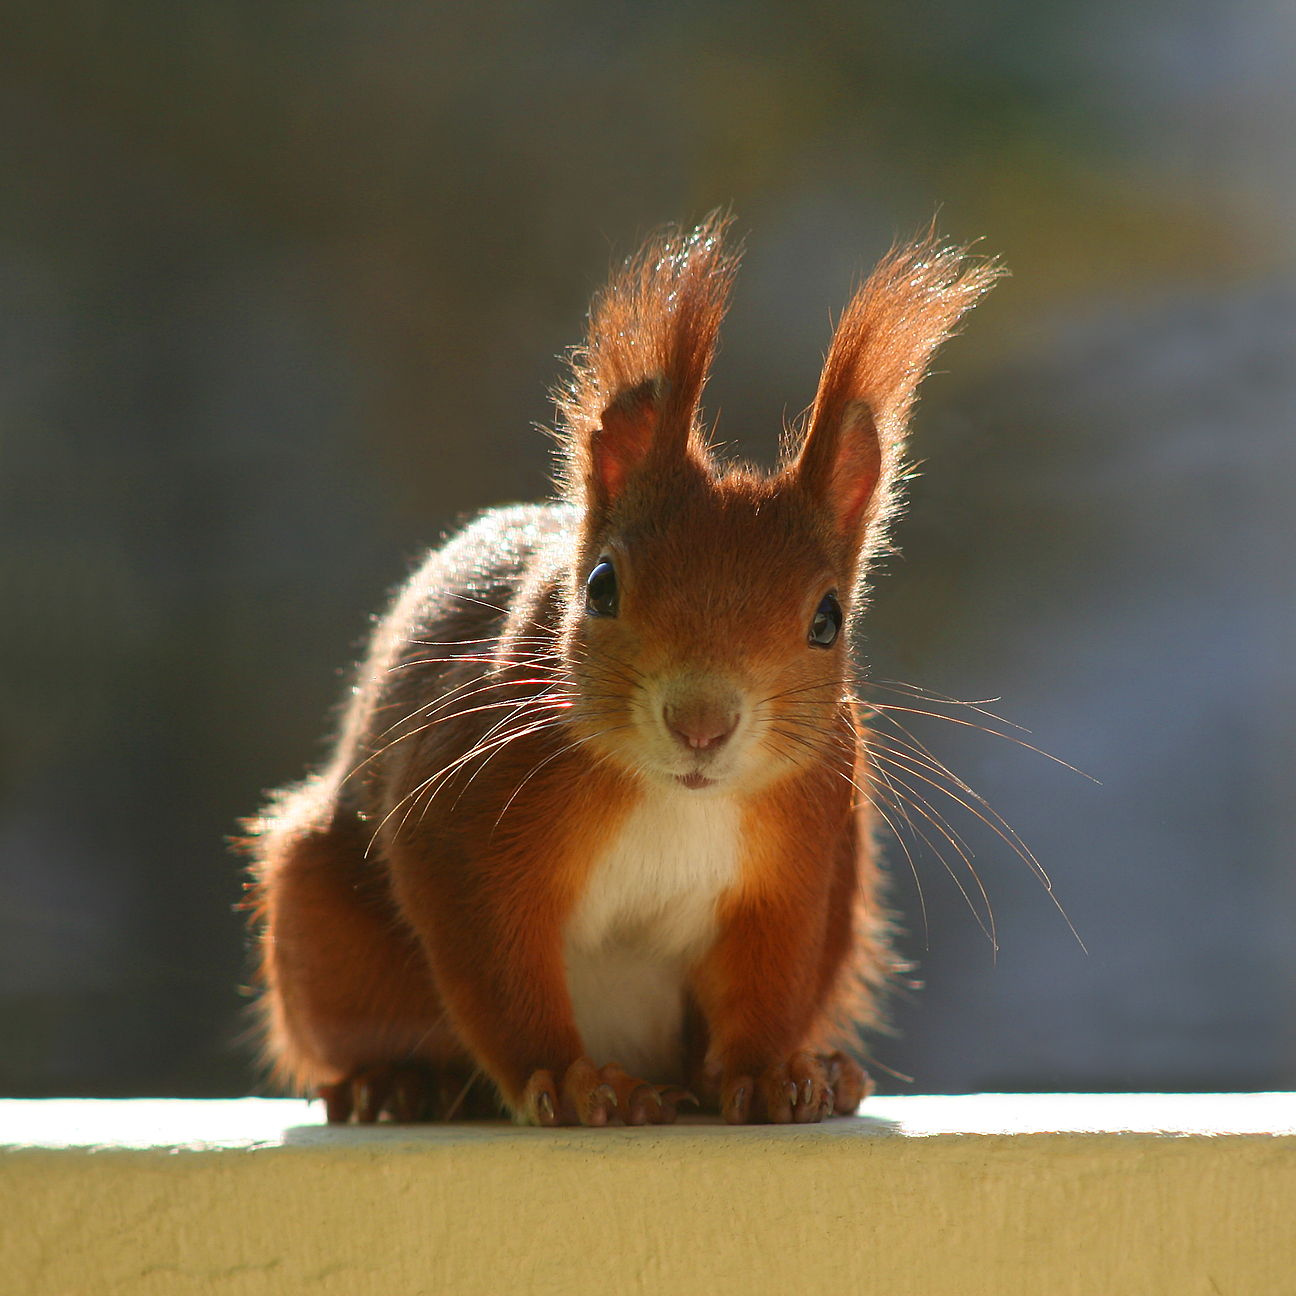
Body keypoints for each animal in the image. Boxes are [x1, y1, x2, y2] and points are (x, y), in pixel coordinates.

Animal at [243, 215, 995, 1124]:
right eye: (601, 586)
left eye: (828, 620)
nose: (702, 723)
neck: (677, 799)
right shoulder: (465, 827)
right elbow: (498, 971)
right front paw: (570, 1080)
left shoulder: (799, 859)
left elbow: (769, 978)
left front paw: (768, 1073)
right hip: (319, 919)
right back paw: (397, 1081)